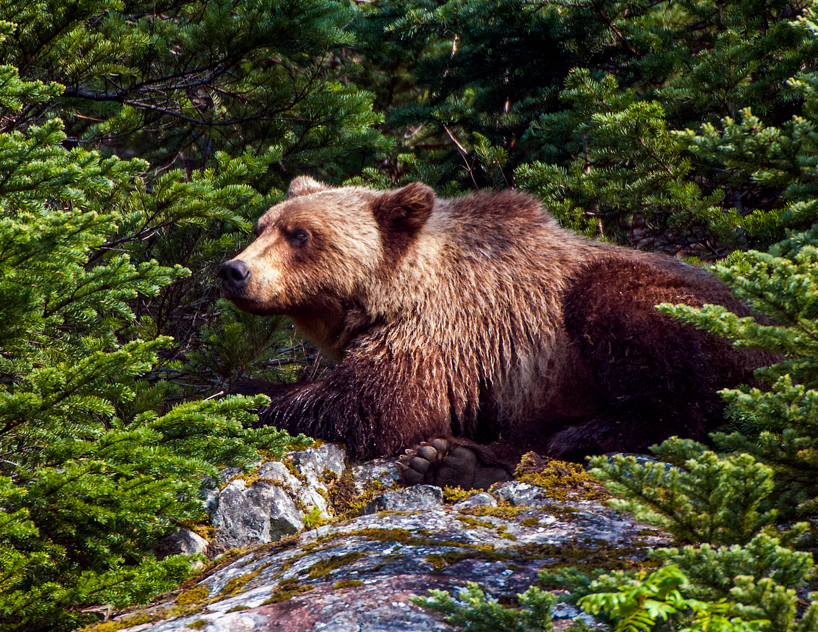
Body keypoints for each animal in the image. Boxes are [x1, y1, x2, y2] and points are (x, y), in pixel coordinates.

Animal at [220, 176, 775, 489]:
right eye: (260, 226)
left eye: (300, 234)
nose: (234, 270)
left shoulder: (440, 330)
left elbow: (379, 405)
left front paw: (245, 393)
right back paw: (453, 462)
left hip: (661, 308)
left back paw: (582, 435)